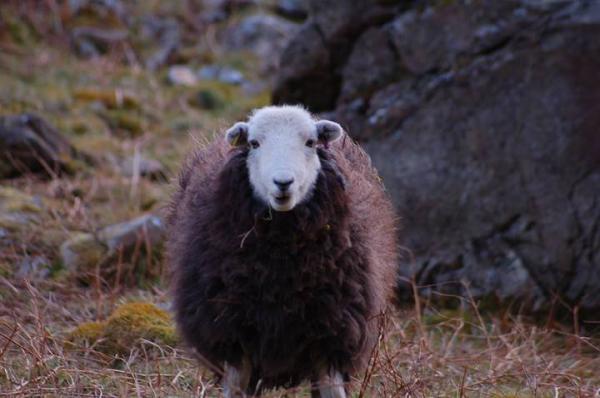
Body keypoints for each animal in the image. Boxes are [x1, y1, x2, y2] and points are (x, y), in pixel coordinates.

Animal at [165, 104, 398, 396]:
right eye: (254, 143)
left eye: (310, 142)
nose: (283, 182)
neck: (283, 266)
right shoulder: (231, 333)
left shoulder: (335, 331)